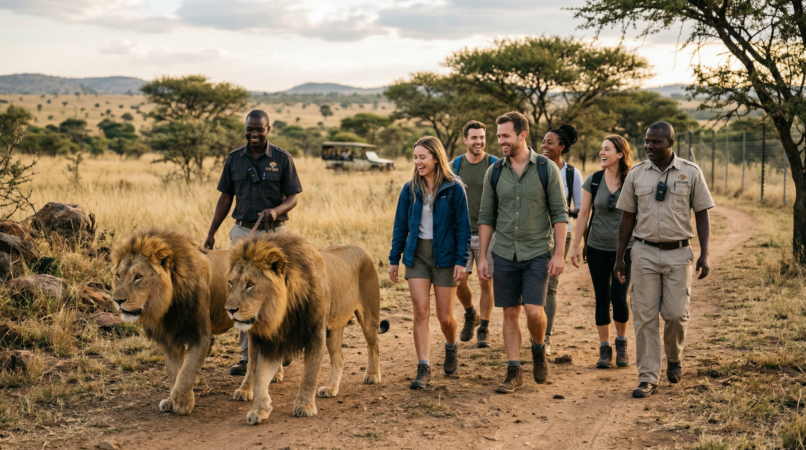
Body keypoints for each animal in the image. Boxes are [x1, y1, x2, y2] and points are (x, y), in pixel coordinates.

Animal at [110, 229, 233, 416]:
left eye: (138, 277)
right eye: (118, 275)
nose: (117, 301)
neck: (167, 305)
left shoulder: (201, 337)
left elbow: (187, 371)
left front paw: (181, 402)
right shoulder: (169, 339)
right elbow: (175, 372)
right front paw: (171, 400)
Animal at [225, 231, 389, 425]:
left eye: (250, 284)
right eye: (230, 282)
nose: (229, 310)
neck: (282, 312)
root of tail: (362, 250)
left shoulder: (316, 336)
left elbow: (309, 375)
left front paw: (304, 406)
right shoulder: (271, 342)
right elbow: (260, 377)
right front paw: (259, 410)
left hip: (368, 317)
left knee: (374, 344)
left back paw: (372, 375)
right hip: (332, 330)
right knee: (339, 359)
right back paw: (330, 387)